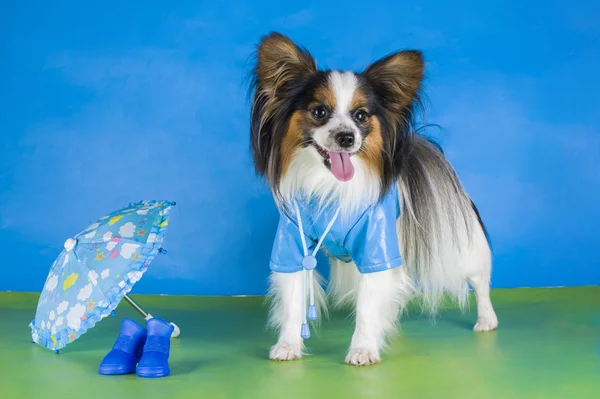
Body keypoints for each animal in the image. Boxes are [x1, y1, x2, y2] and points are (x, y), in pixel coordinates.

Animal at [247, 32, 496, 368]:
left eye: (361, 116)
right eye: (319, 112)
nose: (347, 138)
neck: (330, 187)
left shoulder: (375, 246)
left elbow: (367, 305)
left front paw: (363, 349)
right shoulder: (292, 244)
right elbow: (293, 300)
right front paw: (288, 344)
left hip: (460, 245)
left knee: (480, 280)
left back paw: (486, 319)